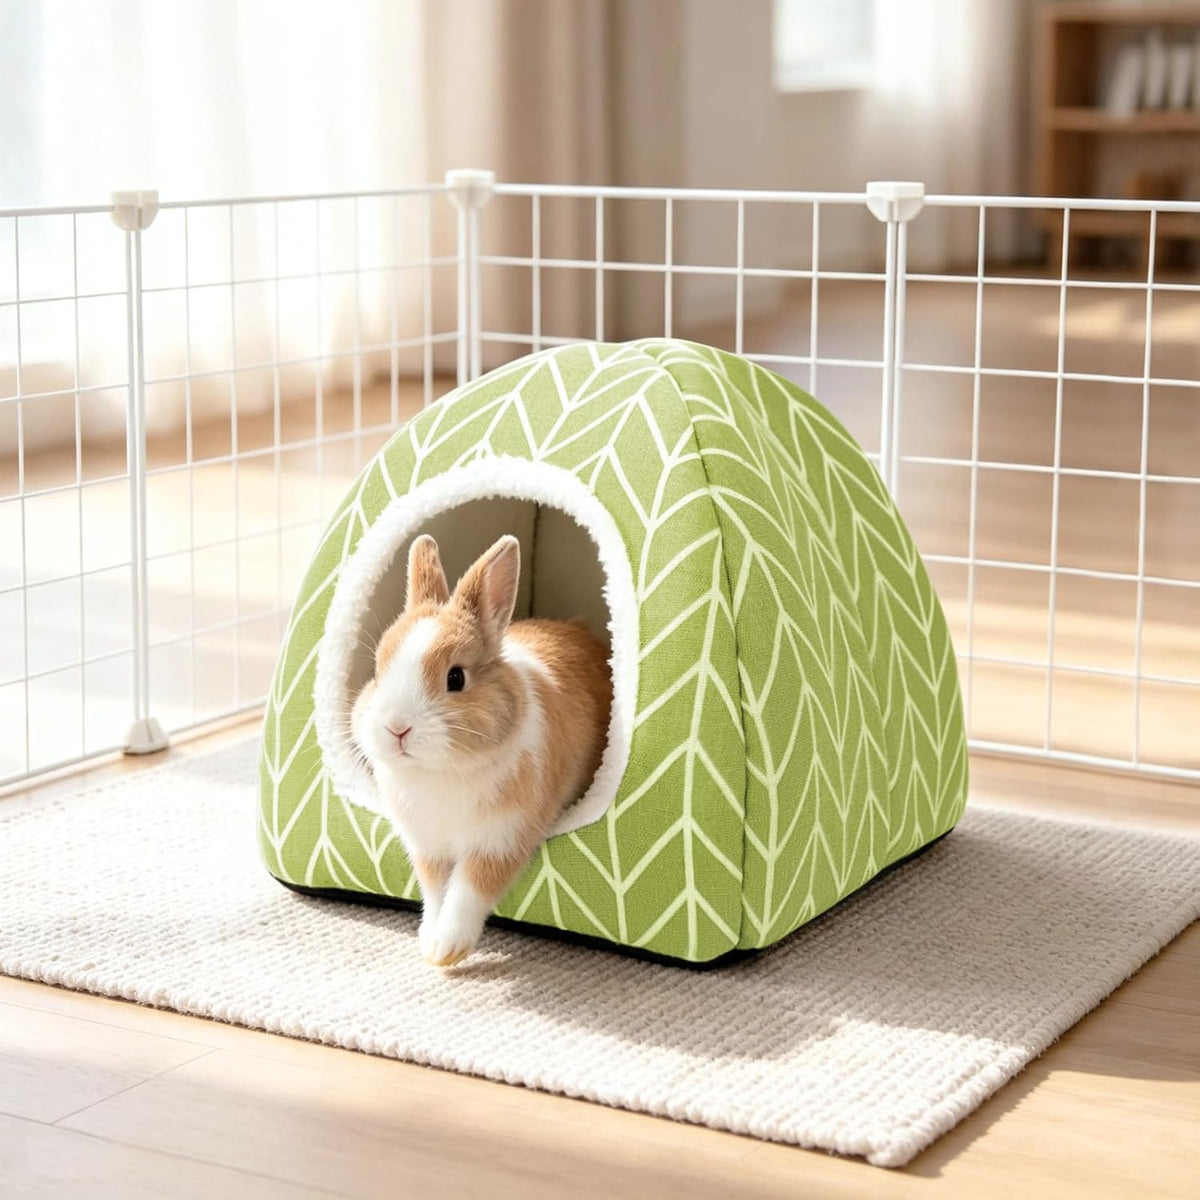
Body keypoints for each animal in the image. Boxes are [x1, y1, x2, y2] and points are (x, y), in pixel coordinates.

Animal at [351, 532, 613, 967]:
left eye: (455, 678)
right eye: (377, 670)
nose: (396, 727)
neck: (440, 771)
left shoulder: (498, 841)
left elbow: (469, 890)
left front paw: (446, 950)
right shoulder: (428, 848)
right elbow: (436, 891)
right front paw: (429, 938)